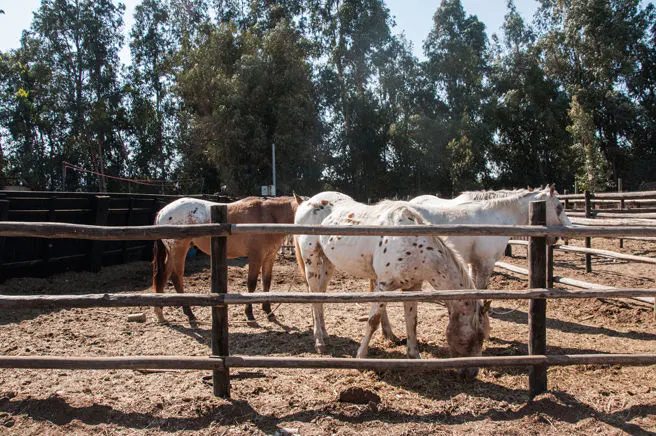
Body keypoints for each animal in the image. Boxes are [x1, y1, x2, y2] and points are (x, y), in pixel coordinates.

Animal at [152, 196, 301, 324]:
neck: (268, 217)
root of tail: (163, 211)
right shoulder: (255, 257)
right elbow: (251, 284)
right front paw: (249, 314)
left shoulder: (269, 257)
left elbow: (266, 283)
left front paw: (268, 311)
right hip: (179, 250)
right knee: (176, 278)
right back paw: (189, 313)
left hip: (173, 253)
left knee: (163, 275)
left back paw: (160, 313)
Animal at [294, 192, 490, 379]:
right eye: (475, 337)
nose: (472, 374)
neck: (416, 247)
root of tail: (306, 202)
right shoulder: (384, 286)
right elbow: (373, 321)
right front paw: (361, 358)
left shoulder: (412, 287)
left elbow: (412, 321)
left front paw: (414, 356)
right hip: (311, 259)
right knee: (314, 293)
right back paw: (319, 341)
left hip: (328, 262)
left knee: (321, 292)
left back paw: (324, 333)